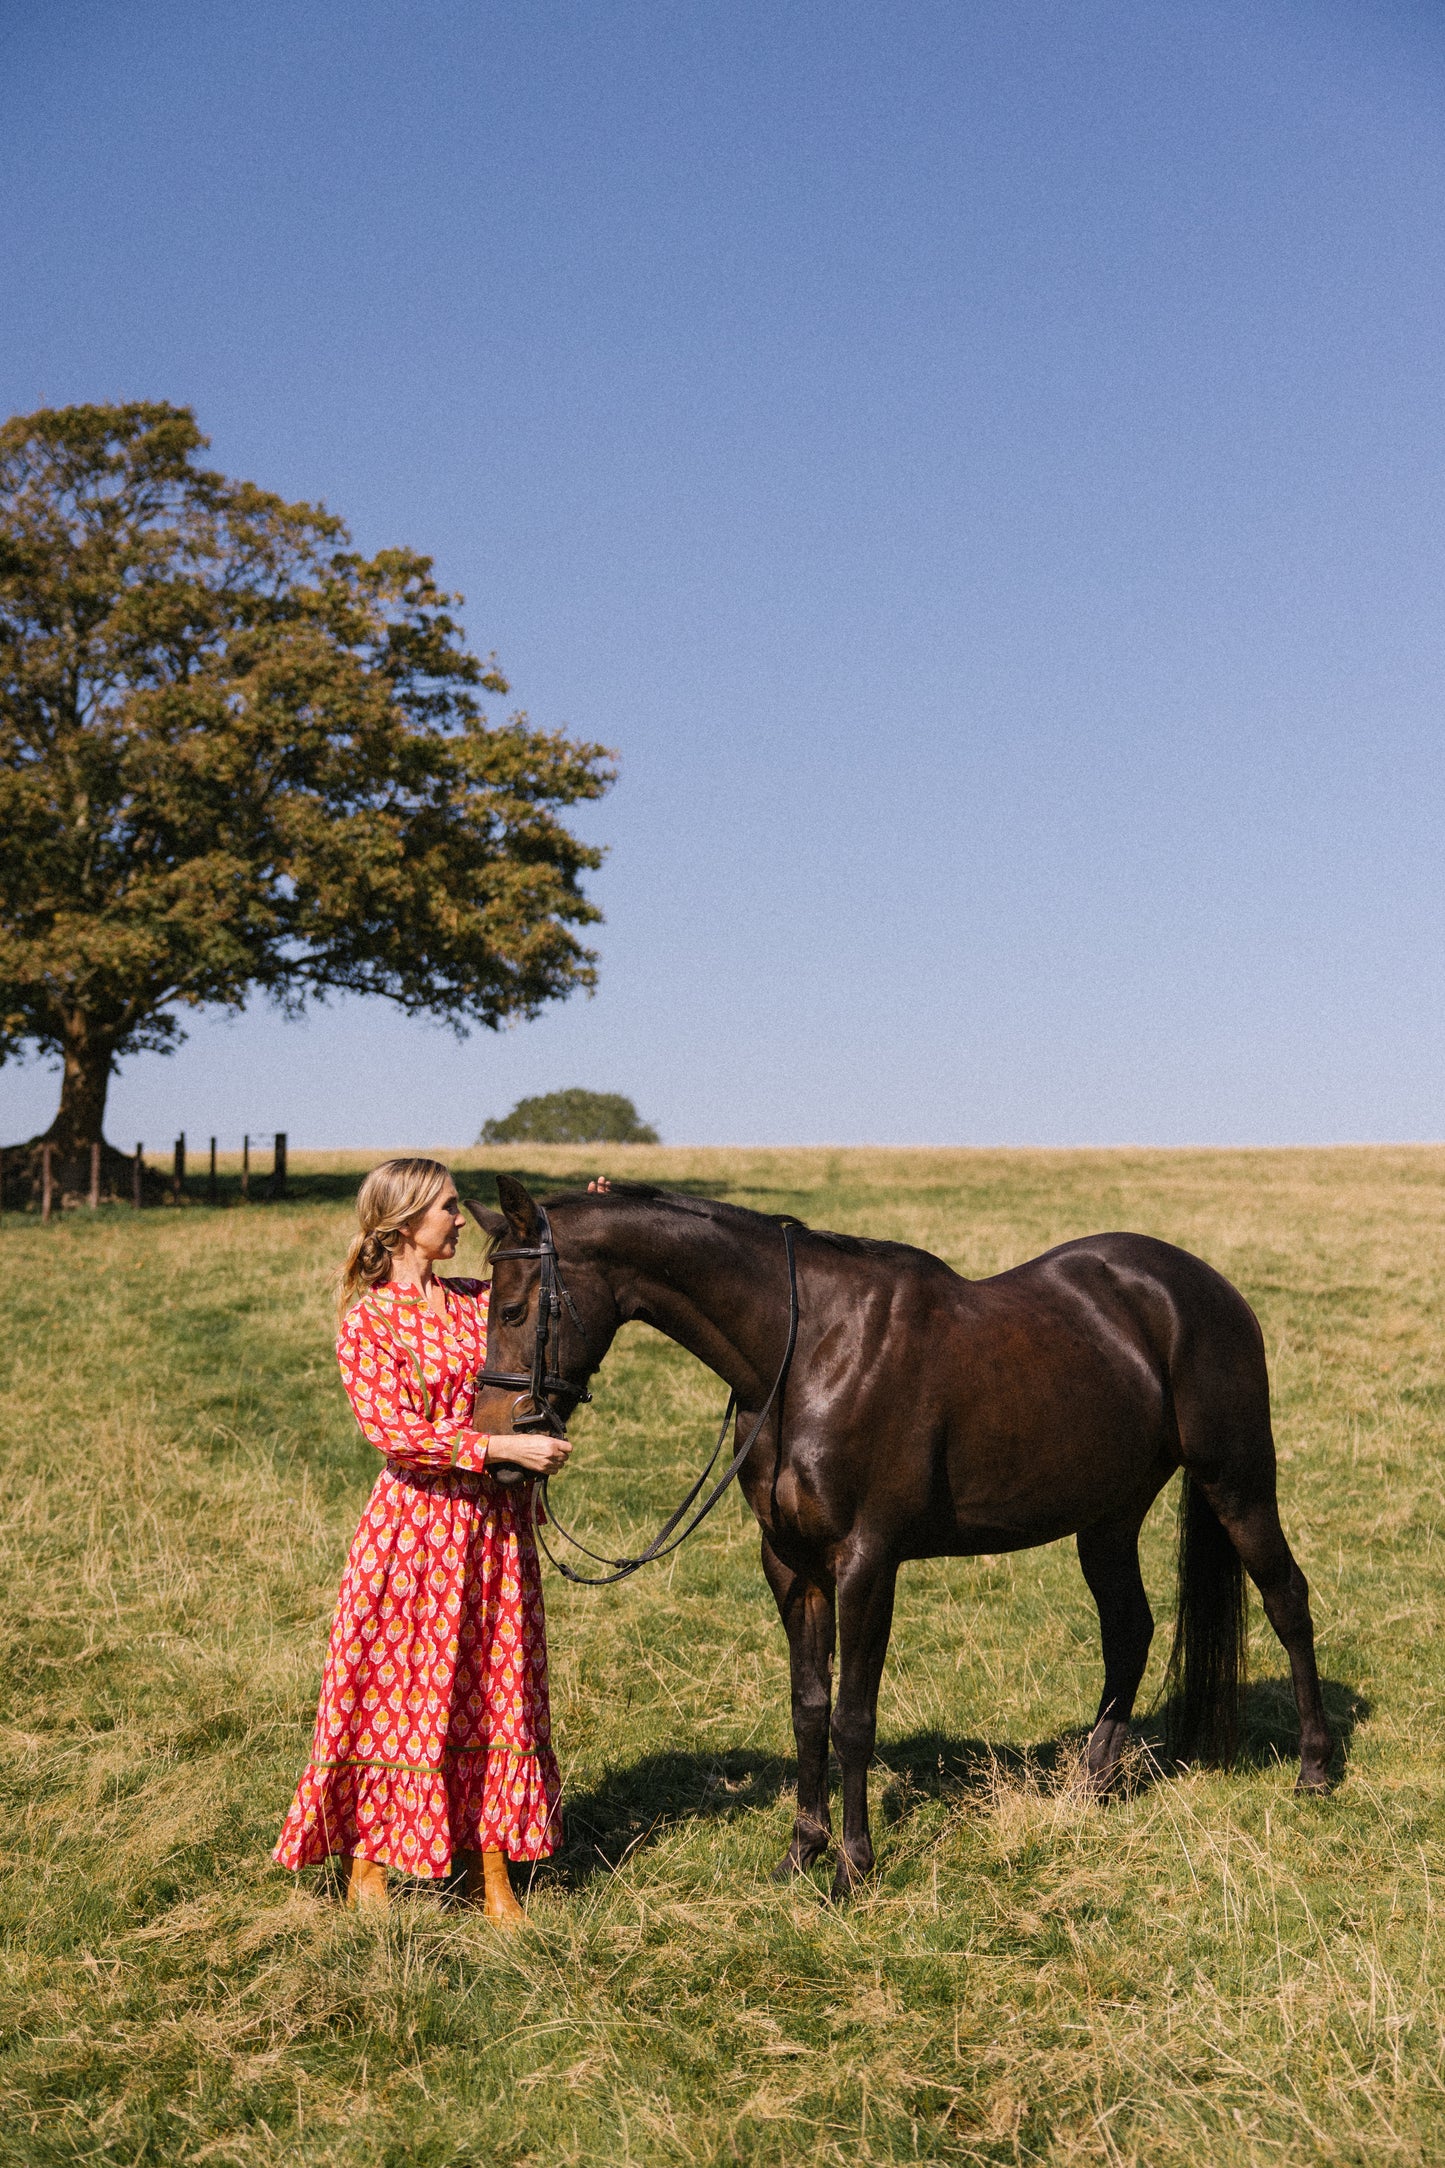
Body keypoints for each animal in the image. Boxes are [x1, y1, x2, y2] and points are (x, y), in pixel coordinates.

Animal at [472, 1188, 1334, 1899]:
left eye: (512, 1311)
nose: (496, 1446)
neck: (807, 1350)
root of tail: (1202, 1287)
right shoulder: (790, 1565)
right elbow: (808, 1709)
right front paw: (801, 1852)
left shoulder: (866, 1562)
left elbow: (854, 1715)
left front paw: (853, 1867)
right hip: (1109, 1514)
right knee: (1129, 1629)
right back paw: (1091, 1787)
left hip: (1236, 1482)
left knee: (1287, 1601)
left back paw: (1315, 1770)